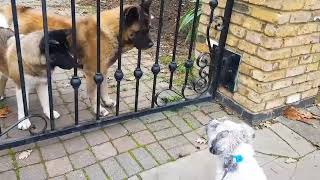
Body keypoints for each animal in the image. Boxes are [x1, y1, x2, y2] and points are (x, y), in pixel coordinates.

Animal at [0, 0, 154, 129]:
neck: (109, 31)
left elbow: (103, 89)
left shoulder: (102, 71)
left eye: (149, 29)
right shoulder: (92, 73)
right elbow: (94, 95)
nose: (152, 44)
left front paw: (107, 101)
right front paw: (98, 109)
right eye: (141, 31)